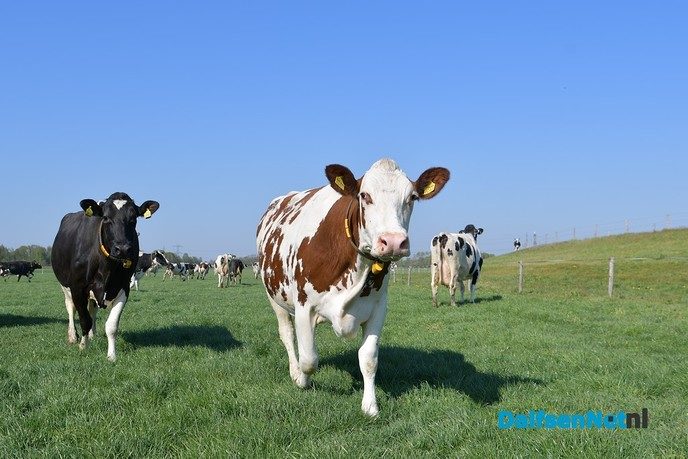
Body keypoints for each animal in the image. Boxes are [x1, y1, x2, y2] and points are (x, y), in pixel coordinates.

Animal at [51, 192, 159, 361]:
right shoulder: (77, 287)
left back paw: (92, 334)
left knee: (92, 309)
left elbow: (111, 326)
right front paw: (83, 346)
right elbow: (84, 320)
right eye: (106, 217)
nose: (123, 249)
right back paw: (73, 337)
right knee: (71, 308)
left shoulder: (123, 288)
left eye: (133, 219)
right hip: (65, 286)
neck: (106, 266)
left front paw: (111, 355)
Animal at [257, 158, 449, 416]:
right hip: (273, 296)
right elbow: (309, 359)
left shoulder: (378, 308)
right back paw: (294, 371)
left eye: (413, 197)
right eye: (364, 195)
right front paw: (302, 381)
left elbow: (368, 359)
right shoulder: (304, 306)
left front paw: (370, 406)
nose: (394, 241)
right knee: (287, 335)